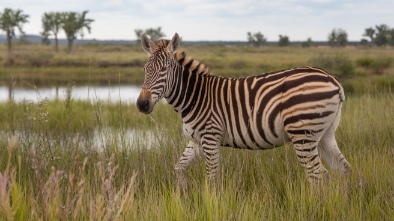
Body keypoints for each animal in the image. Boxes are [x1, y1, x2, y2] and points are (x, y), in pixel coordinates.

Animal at [138, 32, 350, 184]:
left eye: (164, 70)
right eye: (145, 69)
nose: (141, 104)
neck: (196, 96)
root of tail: (333, 79)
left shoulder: (210, 138)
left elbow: (212, 178)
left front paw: (212, 205)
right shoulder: (196, 141)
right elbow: (178, 168)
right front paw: (183, 194)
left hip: (303, 133)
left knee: (318, 175)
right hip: (324, 135)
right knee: (343, 170)